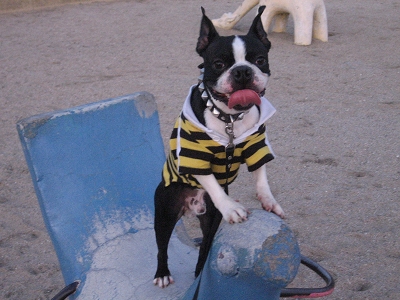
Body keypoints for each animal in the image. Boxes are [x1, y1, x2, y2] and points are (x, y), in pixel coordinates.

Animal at [153, 6, 284, 288]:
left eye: (260, 60)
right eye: (218, 64)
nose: (242, 71)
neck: (229, 119)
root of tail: (192, 205)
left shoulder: (256, 144)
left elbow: (261, 176)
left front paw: (268, 200)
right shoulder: (195, 156)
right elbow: (212, 183)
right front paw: (231, 207)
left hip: (210, 219)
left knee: (205, 248)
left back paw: (200, 272)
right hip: (165, 213)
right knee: (161, 246)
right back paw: (162, 273)